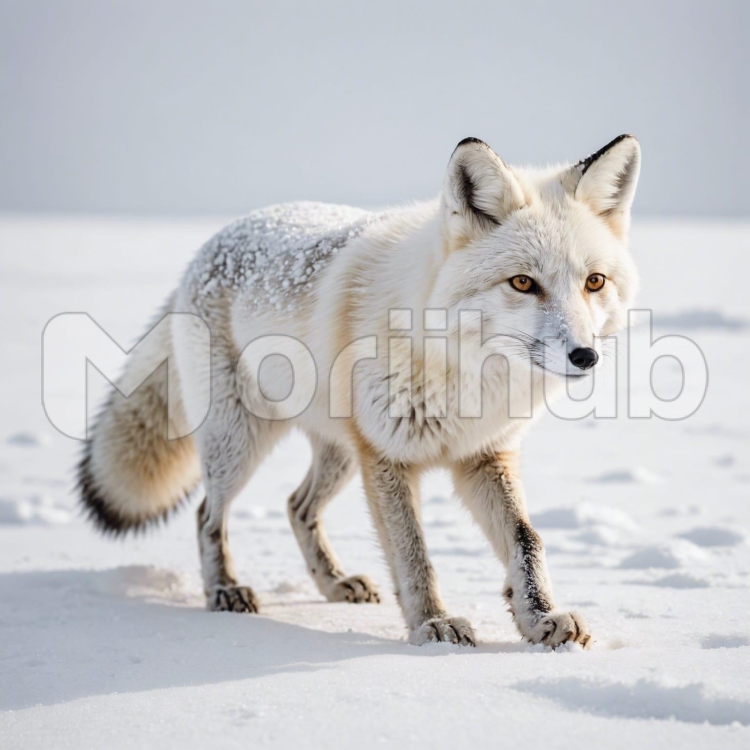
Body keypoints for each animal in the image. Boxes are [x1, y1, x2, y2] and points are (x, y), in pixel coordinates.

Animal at [78, 135, 640, 648]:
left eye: (594, 282)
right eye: (523, 283)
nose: (584, 356)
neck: (463, 374)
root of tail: (211, 243)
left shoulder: (482, 454)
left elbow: (527, 540)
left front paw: (540, 619)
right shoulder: (389, 457)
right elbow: (413, 552)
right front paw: (434, 626)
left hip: (343, 453)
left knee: (296, 505)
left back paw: (333, 583)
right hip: (240, 443)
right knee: (206, 516)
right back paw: (225, 590)